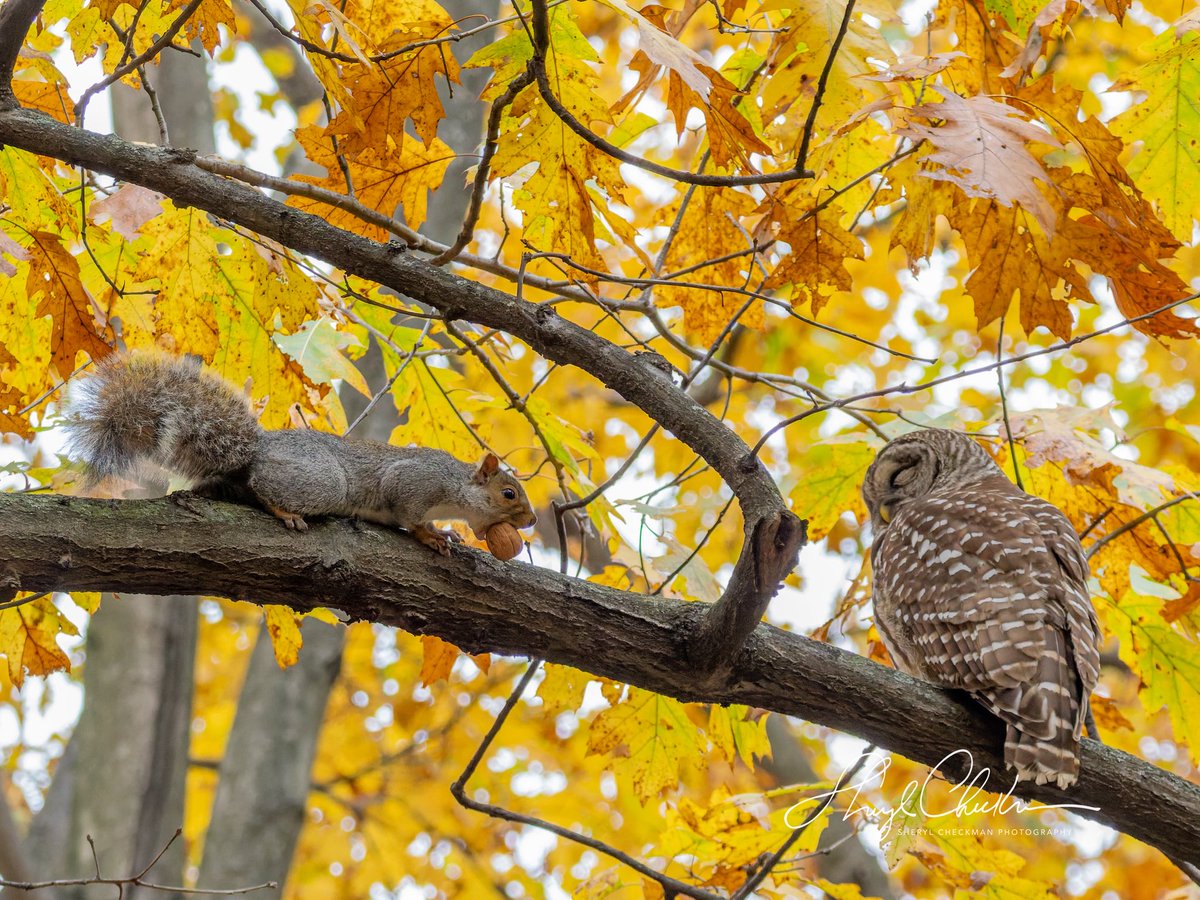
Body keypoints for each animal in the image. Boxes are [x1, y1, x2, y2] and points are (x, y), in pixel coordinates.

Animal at [66, 353, 537, 555]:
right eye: (509, 493)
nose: (533, 521)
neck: (456, 487)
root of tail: (257, 450)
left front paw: (451, 533)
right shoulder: (415, 481)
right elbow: (408, 514)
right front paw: (434, 534)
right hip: (323, 482)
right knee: (263, 487)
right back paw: (286, 512)